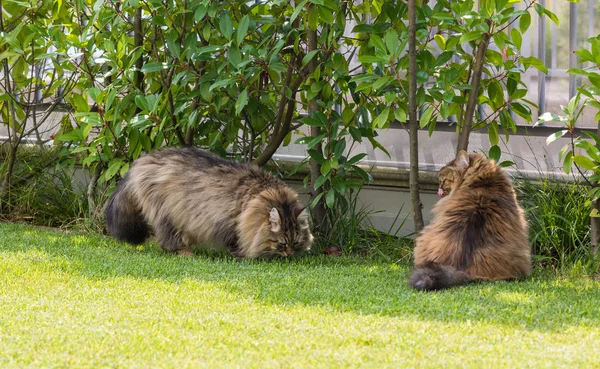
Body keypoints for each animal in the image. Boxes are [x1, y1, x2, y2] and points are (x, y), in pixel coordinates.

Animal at [104, 145, 314, 258]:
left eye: (295, 242)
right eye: (281, 243)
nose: (289, 254)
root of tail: (143, 161)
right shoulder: (228, 220)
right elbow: (236, 242)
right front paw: (243, 255)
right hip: (168, 212)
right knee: (167, 238)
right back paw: (185, 252)